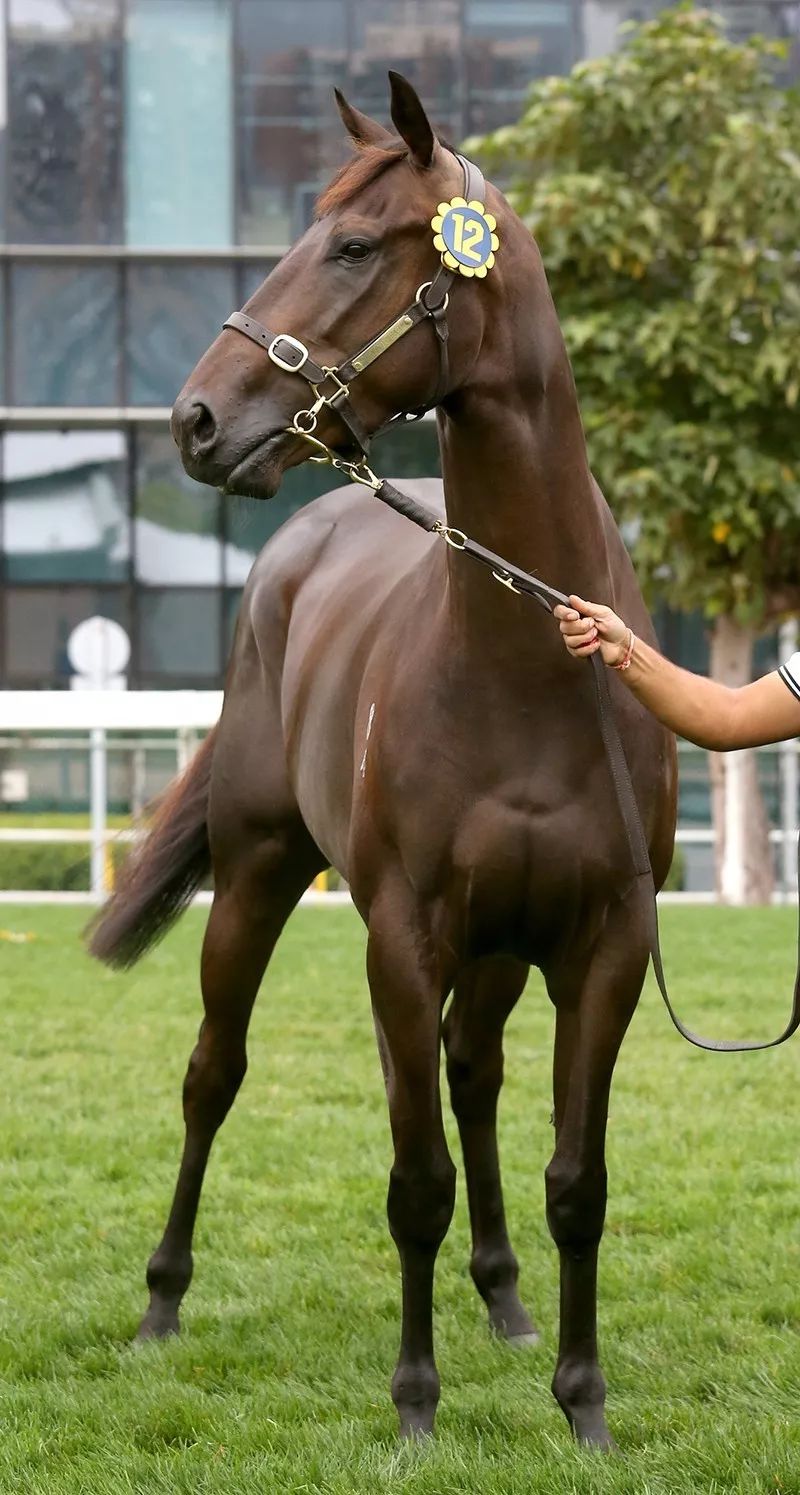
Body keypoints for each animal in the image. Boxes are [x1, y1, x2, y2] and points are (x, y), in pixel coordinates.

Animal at [90, 72, 678, 1447]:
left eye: (354, 246)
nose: (196, 420)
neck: (528, 661)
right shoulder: (400, 935)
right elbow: (413, 1179)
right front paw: (414, 1403)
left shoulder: (605, 942)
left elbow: (576, 1176)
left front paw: (581, 1400)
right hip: (257, 879)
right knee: (214, 1074)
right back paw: (160, 1303)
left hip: (498, 950)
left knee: (473, 1079)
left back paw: (505, 1298)